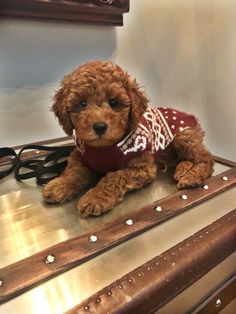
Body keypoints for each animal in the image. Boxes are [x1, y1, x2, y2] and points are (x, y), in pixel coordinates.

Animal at [42, 60, 214, 217]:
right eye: (82, 103)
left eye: (114, 102)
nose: (99, 126)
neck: (104, 147)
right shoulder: (79, 155)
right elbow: (74, 170)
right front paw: (60, 185)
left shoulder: (143, 166)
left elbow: (115, 176)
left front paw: (95, 197)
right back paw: (183, 169)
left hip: (183, 136)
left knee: (206, 159)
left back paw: (191, 176)